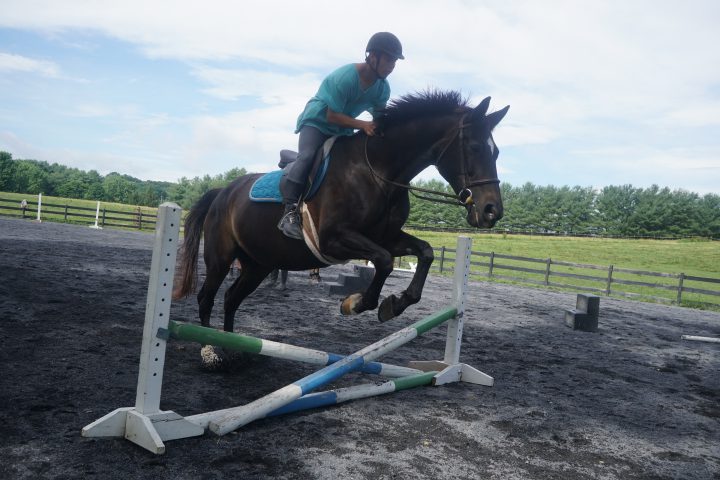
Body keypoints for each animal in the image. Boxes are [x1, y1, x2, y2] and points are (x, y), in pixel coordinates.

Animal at [173, 92, 512, 336]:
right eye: (474, 147)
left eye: (496, 152)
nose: (491, 211)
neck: (379, 172)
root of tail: (223, 191)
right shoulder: (334, 240)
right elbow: (384, 262)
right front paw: (357, 303)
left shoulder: (386, 237)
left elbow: (425, 252)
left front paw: (396, 304)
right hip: (221, 258)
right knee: (207, 298)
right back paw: (209, 349)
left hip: (258, 263)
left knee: (232, 299)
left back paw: (230, 349)